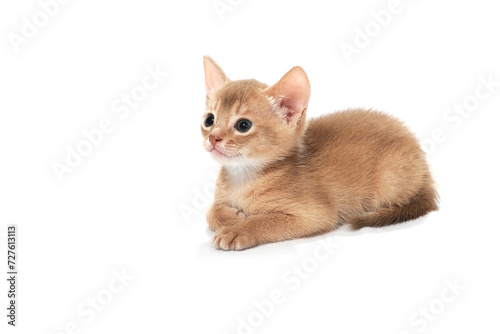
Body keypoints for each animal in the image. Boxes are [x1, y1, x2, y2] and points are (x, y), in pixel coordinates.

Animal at [199, 56, 438, 250]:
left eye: (243, 125)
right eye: (209, 120)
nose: (213, 138)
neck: (242, 177)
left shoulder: (316, 215)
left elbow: (266, 220)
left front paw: (238, 230)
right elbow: (210, 211)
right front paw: (230, 216)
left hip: (389, 179)